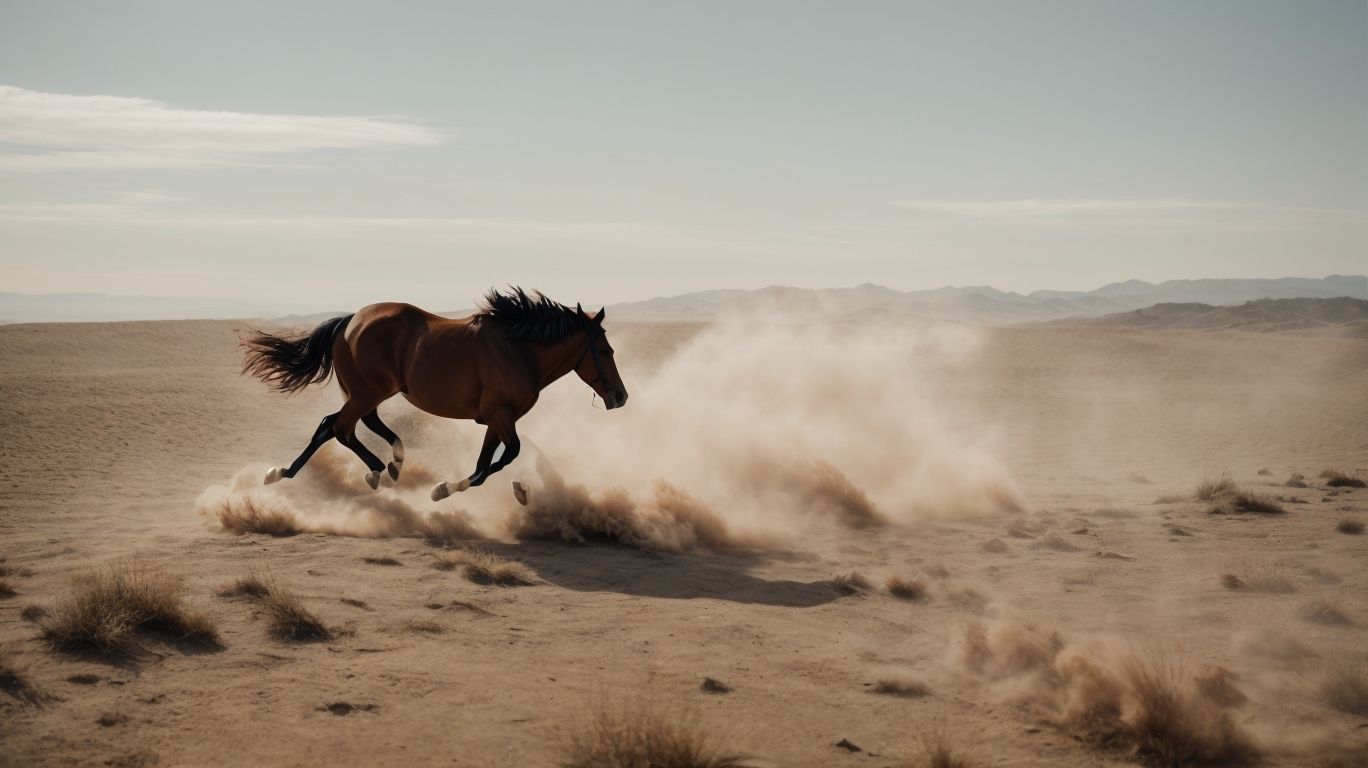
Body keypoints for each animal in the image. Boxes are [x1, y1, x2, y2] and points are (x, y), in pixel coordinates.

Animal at [240, 287, 628, 502]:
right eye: (605, 350)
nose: (621, 397)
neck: (519, 351)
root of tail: (350, 321)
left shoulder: (497, 420)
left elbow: (489, 462)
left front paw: (510, 490)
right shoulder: (501, 417)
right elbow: (504, 458)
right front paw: (445, 489)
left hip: (370, 392)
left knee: (344, 426)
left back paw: (378, 467)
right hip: (369, 391)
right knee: (337, 427)